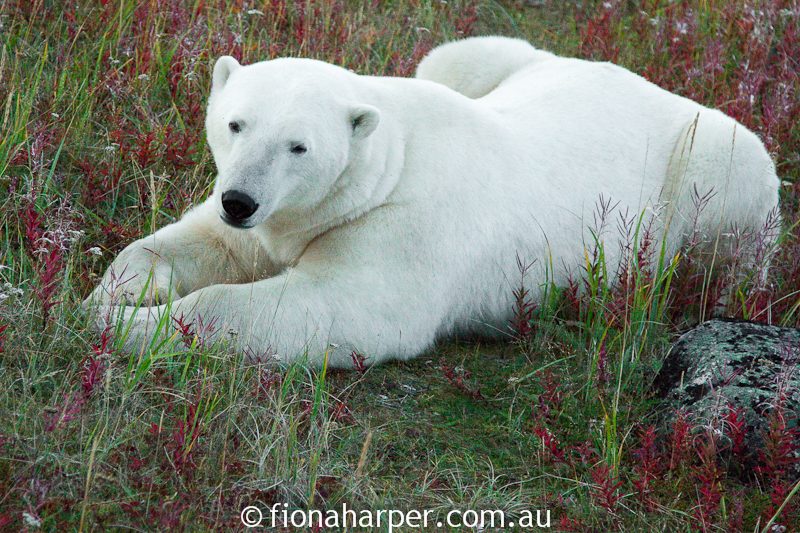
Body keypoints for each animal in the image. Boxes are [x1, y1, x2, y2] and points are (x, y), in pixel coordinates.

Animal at [86, 36, 776, 366]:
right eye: (236, 124)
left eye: (298, 146)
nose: (240, 200)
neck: (390, 160)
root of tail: (651, 83)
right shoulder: (271, 218)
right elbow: (202, 243)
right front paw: (111, 295)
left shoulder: (403, 227)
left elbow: (332, 308)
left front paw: (127, 326)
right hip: (506, 59)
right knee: (460, 53)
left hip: (714, 166)